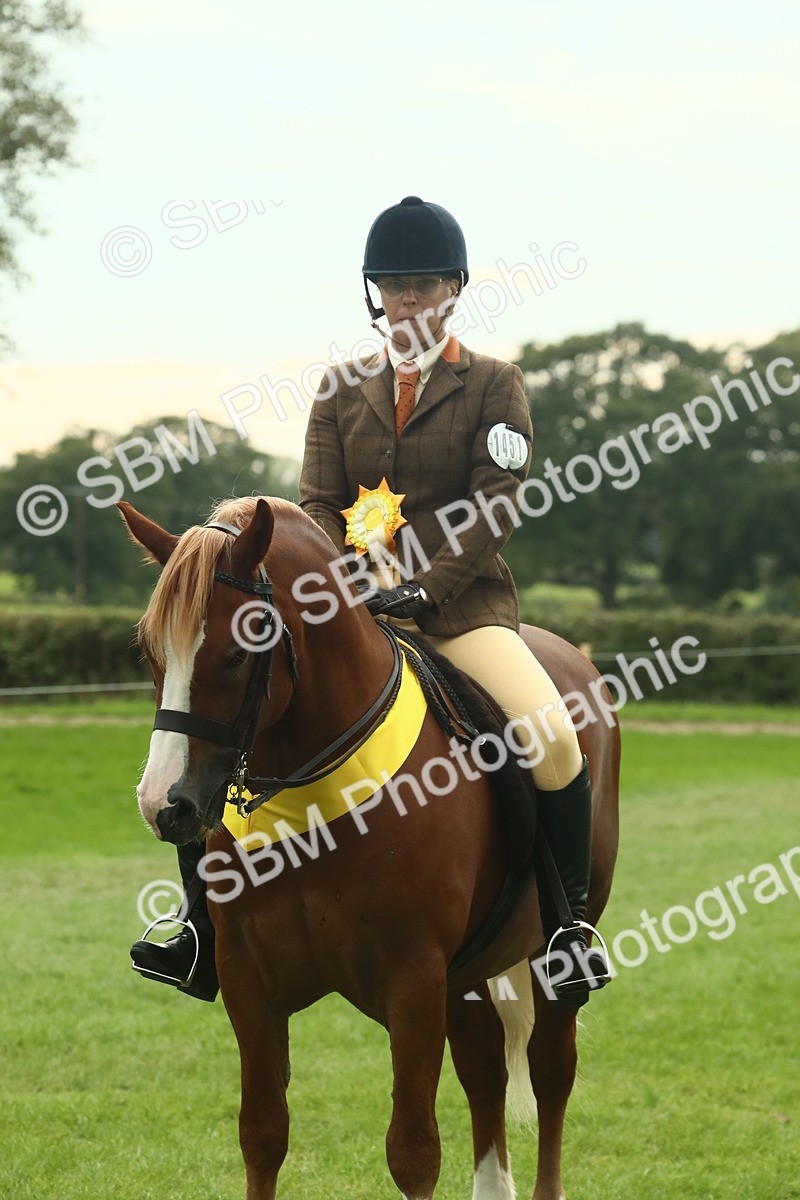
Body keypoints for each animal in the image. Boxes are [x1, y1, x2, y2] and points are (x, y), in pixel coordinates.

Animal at [120, 494, 620, 1200]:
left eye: (241, 650)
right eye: (149, 649)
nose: (165, 804)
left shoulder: (413, 980)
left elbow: (412, 1150)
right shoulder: (248, 982)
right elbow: (262, 1134)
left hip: (550, 954)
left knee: (550, 1070)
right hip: (466, 969)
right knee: (484, 1067)